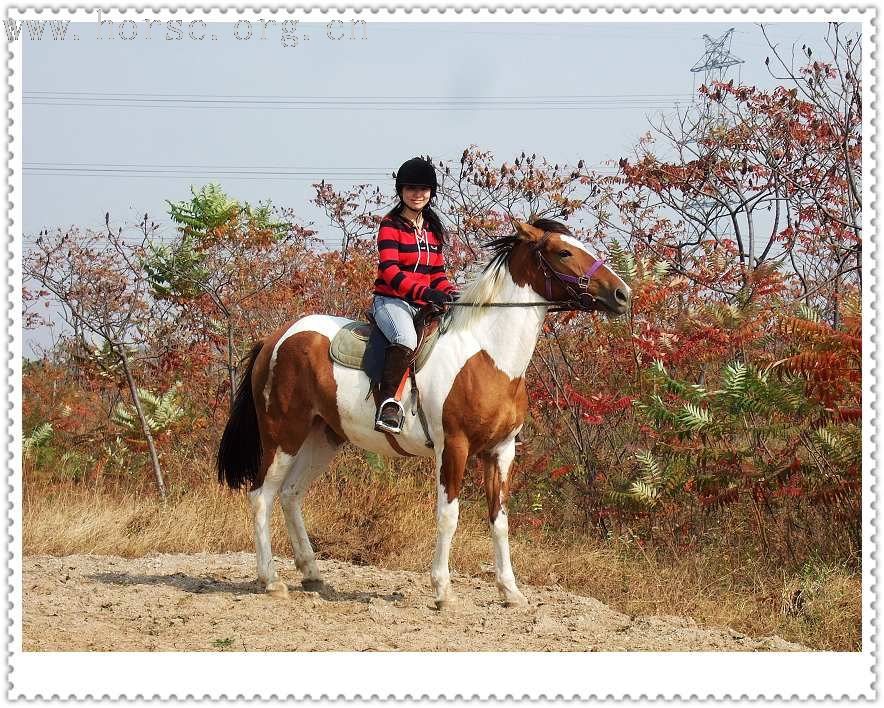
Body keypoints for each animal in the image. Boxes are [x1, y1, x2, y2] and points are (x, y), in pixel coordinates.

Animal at [218, 218, 632, 604]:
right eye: (563, 252)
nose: (622, 293)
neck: (488, 356)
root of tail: (275, 337)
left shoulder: (501, 451)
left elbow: (499, 520)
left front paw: (510, 592)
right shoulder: (455, 448)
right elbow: (449, 516)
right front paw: (443, 590)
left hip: (324, 437)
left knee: (290, 494)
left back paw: (312, 574)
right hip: (283, 434)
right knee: (261, 496)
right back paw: (271, 580)